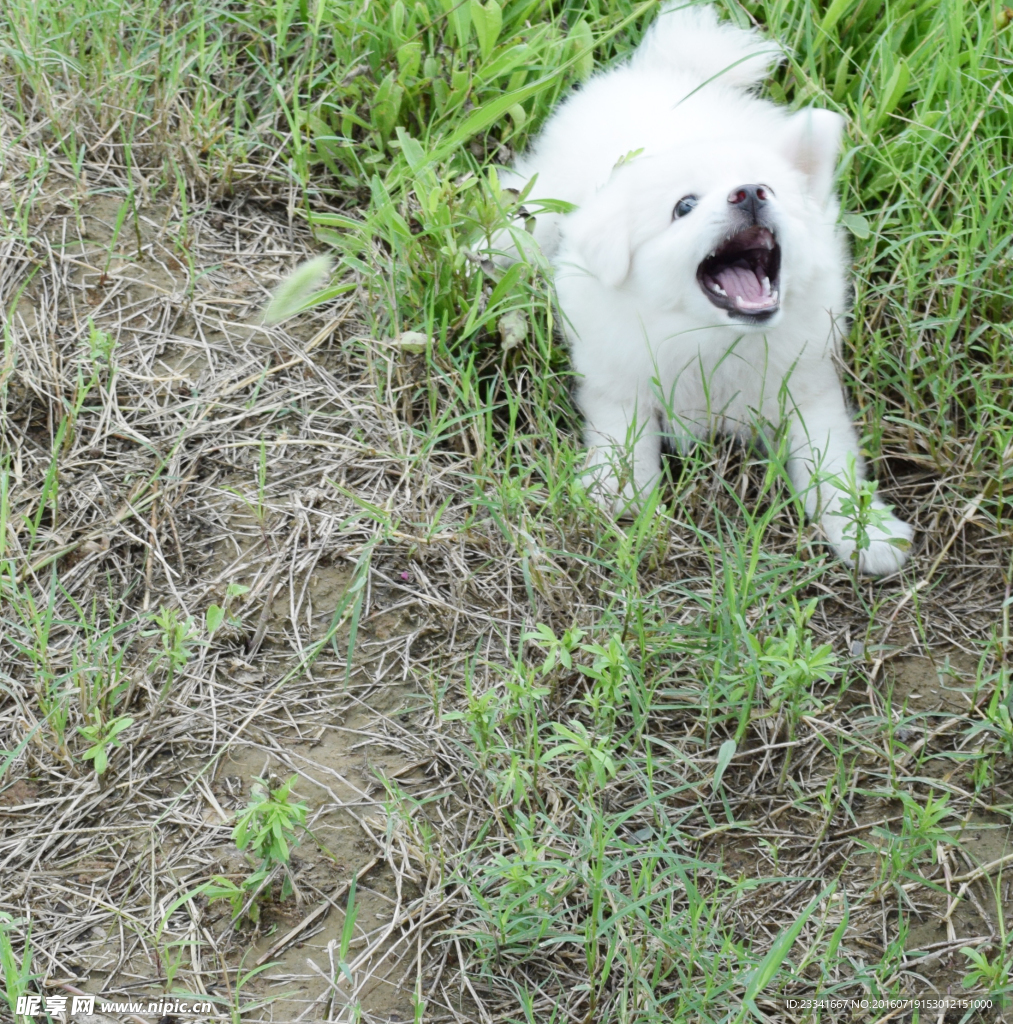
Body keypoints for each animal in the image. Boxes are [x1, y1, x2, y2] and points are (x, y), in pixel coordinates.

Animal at [495, 2, 909, 577]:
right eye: (684, 206)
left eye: (769, 187)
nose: (750, 192)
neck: (713, 338)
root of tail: (666, 69)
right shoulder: (617, 377)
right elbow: (625, 436)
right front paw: (619, 497)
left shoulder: (809, 386)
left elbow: (831, 462)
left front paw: (866, 531)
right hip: (546, 190)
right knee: (522, 203)